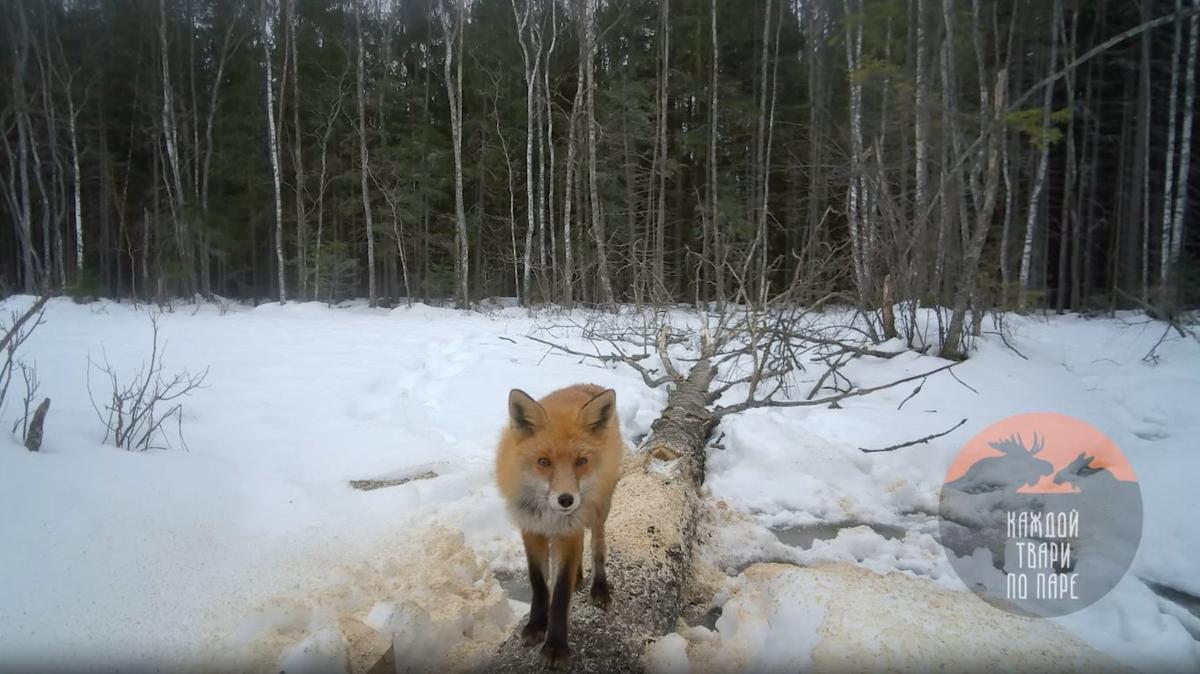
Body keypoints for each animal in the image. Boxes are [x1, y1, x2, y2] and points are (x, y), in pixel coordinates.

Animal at [495, 383, 624, 666]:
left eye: (581, 461)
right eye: (543, 462)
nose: (566, 500)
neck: (549, 516)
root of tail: (585, 385)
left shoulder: (569, 531)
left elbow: (561, 593)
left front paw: (555, 646)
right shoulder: (531, 529)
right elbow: (539, 584)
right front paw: (536, 625)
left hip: (599, 510)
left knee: (597, 547)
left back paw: (599, 588)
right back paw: (580, 577)